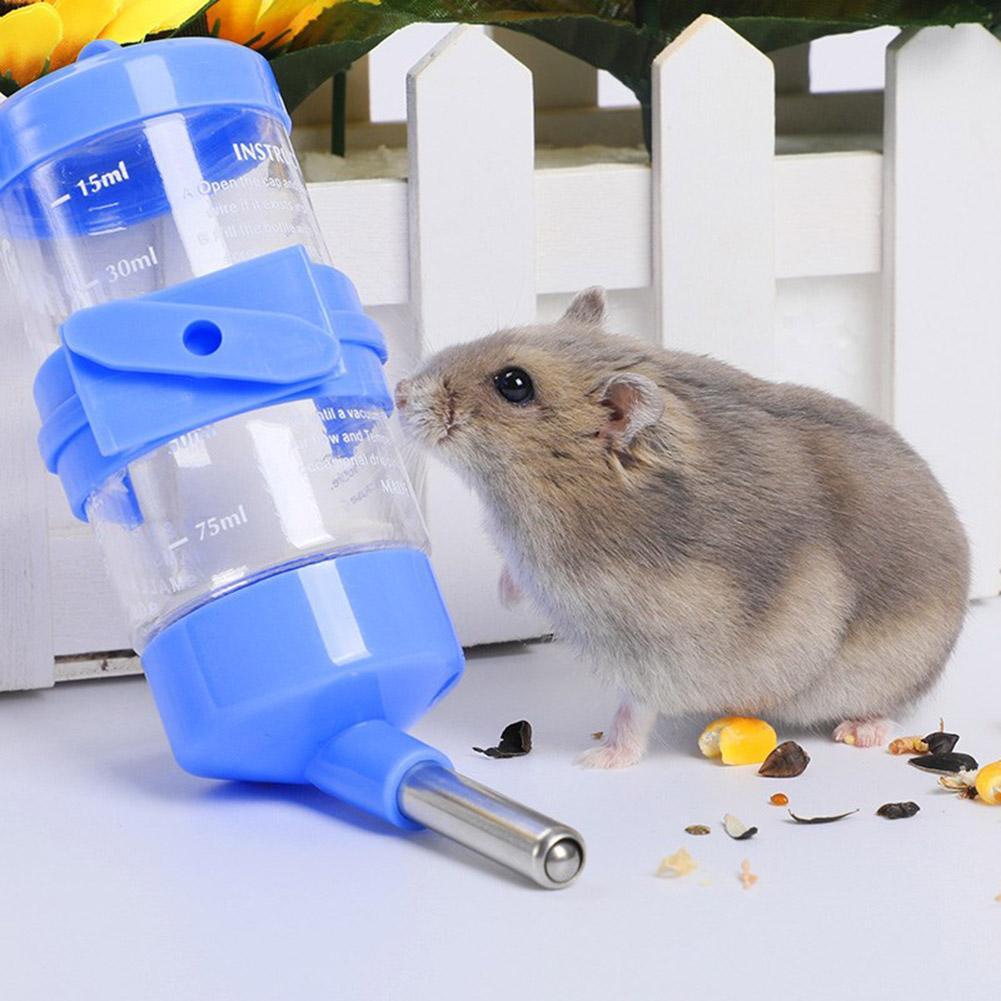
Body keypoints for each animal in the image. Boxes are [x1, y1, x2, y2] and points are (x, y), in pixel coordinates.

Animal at [395, 289, 970, 768]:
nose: (399, 391)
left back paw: (859, 732)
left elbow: (634, 710)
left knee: (888, 705)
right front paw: (505, 595)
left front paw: (597, 761)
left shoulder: (658, 649)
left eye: (513, 384)